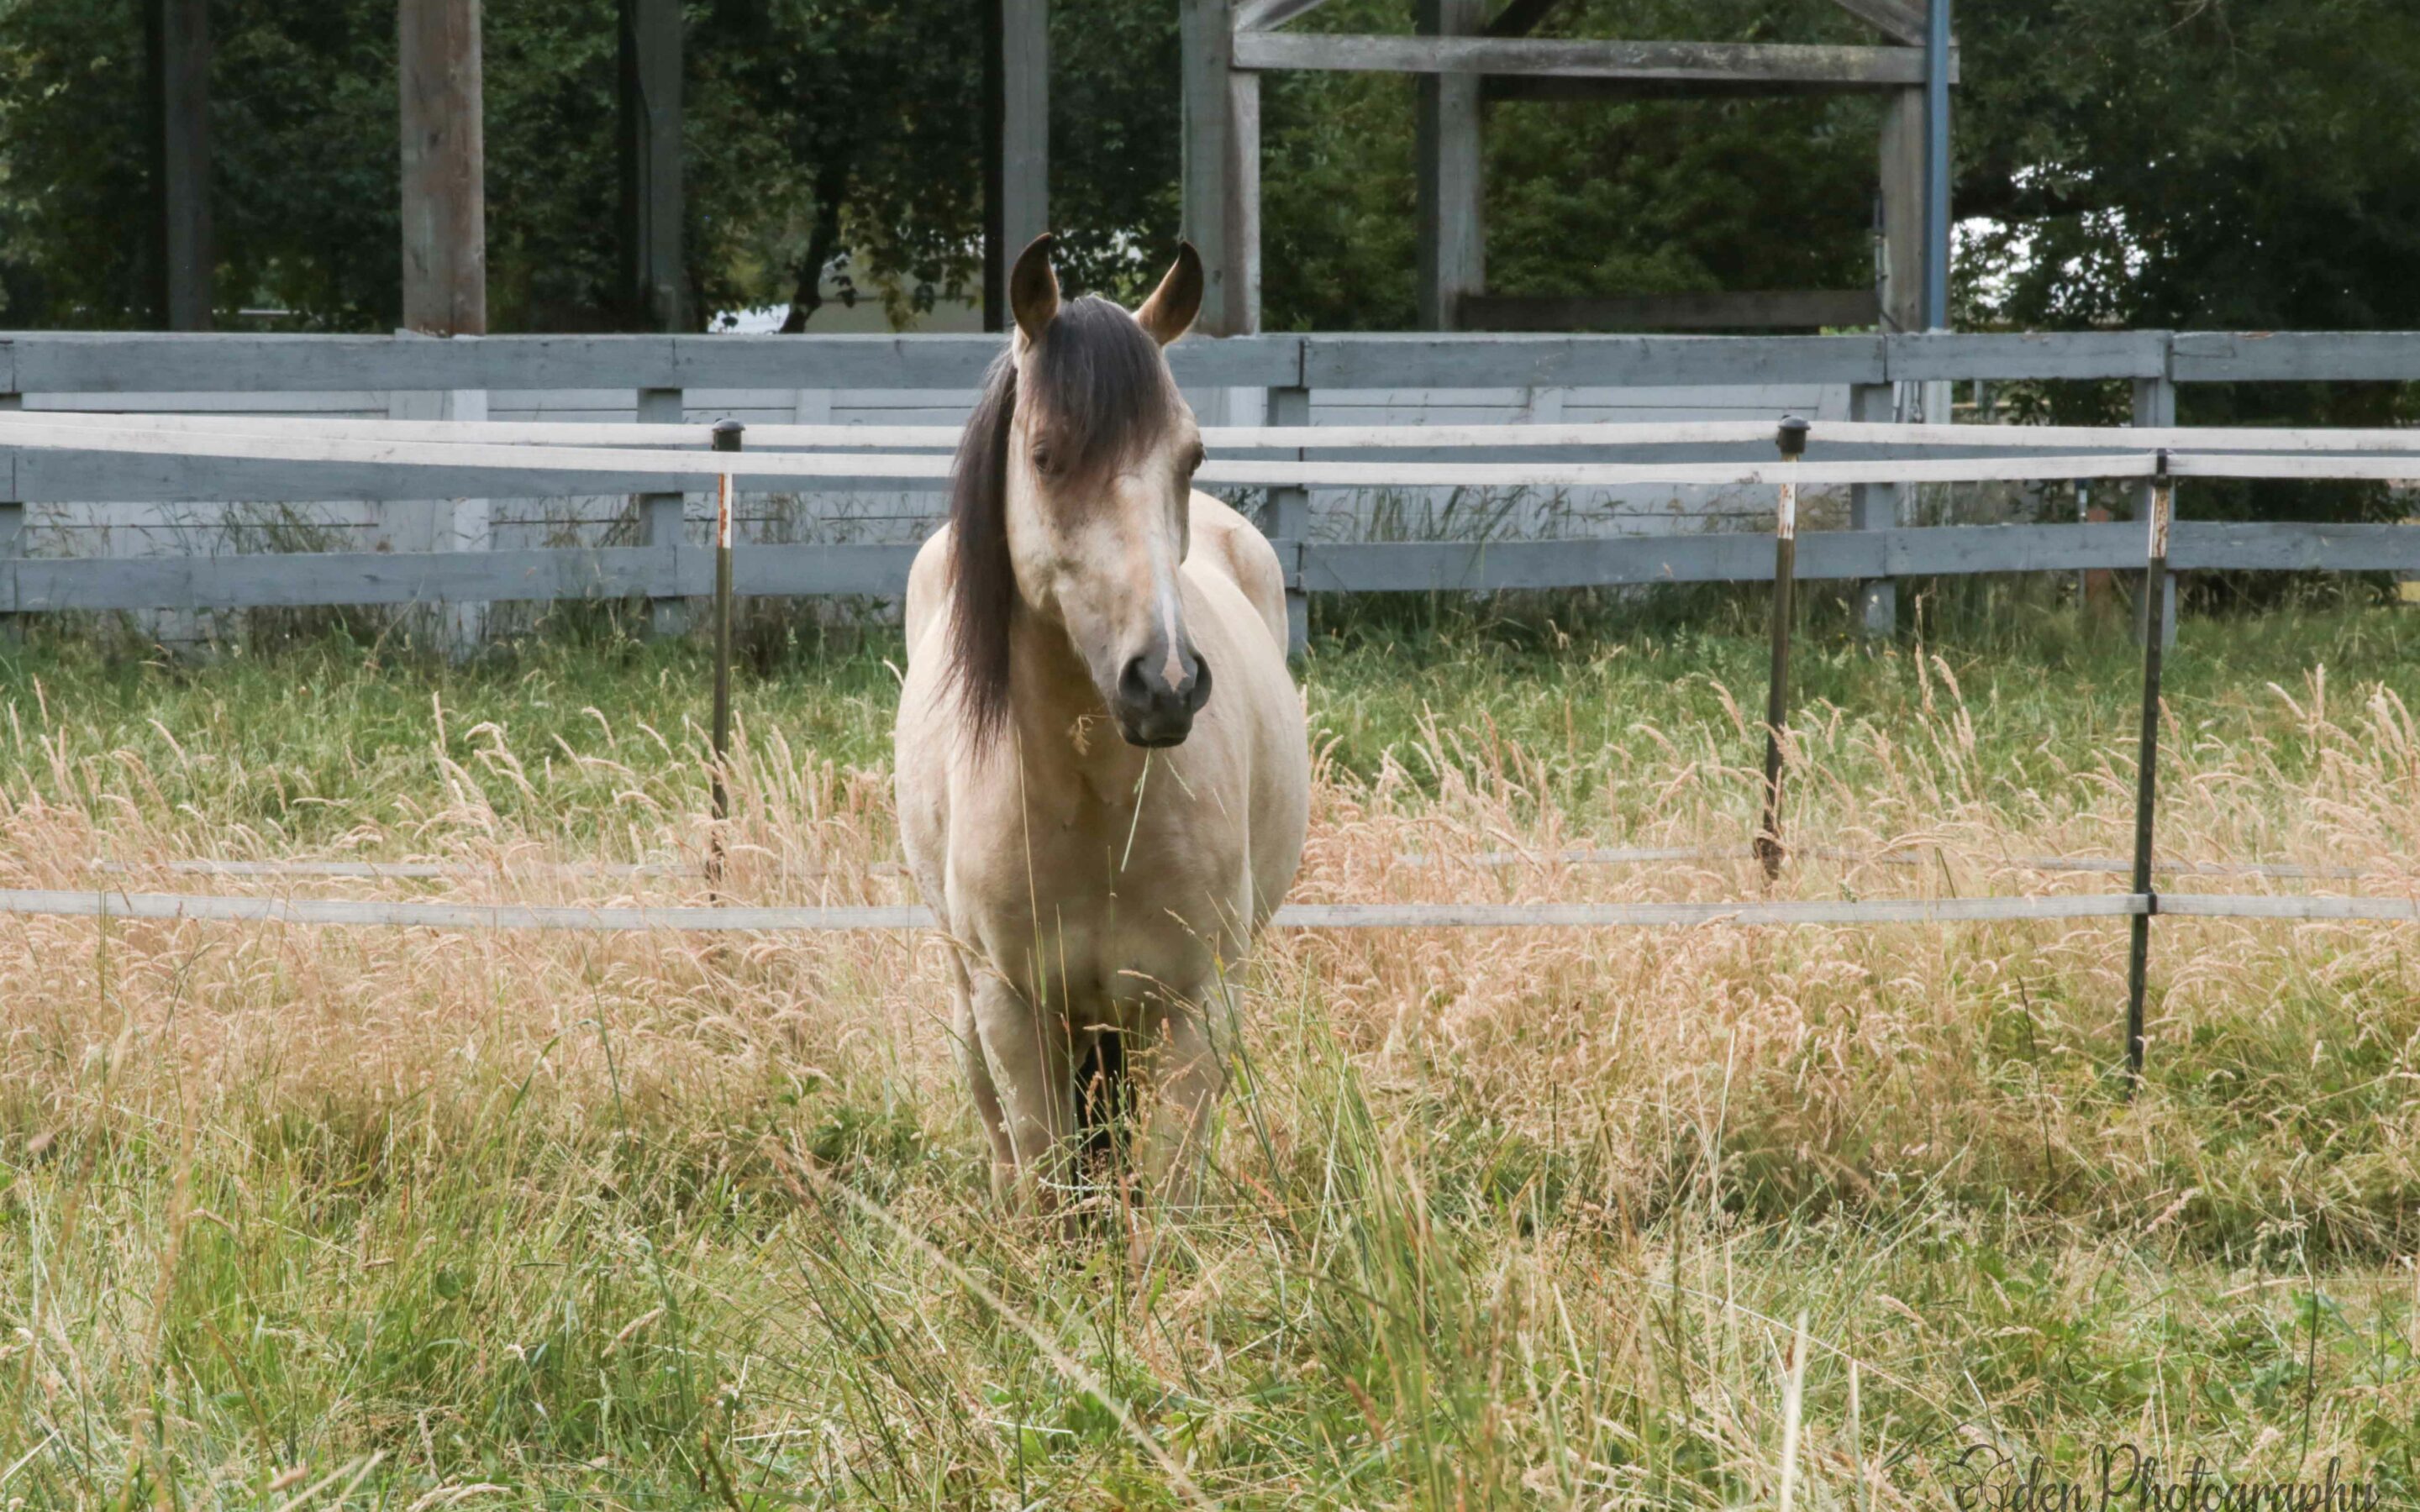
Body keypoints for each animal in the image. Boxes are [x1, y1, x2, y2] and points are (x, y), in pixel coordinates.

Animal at [890, 229, 1307, 1210]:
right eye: (1045, 455)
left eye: (1191, 459)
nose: (1166, 682)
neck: (1092, 802)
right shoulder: (1012, 1010)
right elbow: (1049, 1189)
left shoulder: (1195, 1009)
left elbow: (1166, 1197)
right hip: (974, 1001)